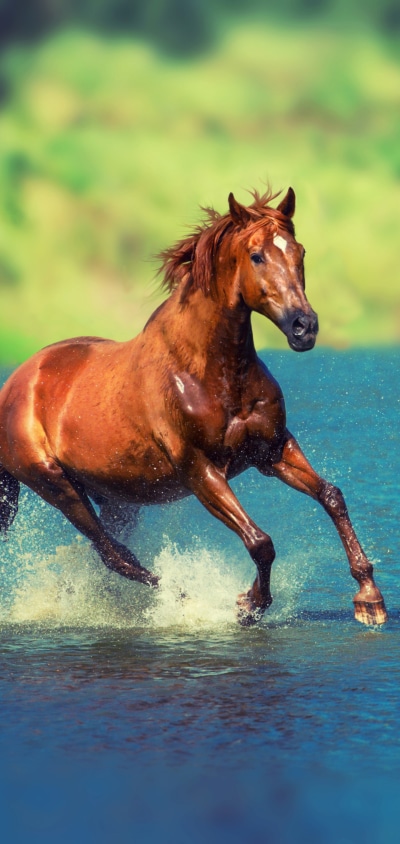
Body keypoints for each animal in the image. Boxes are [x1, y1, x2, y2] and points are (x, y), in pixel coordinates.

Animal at [0, 187, 387, 626]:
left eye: (299, 251)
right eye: (257, 256)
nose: (304, 327)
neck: (210, 371)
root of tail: (14, 385)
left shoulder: (272, 450)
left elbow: (332, 496)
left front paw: (369, 599)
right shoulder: (200, 469)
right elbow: (260, 541)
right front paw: (248, 604)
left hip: (115, 496)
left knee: (105, 555)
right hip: (54, 484)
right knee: (114, 554)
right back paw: (184, 600)